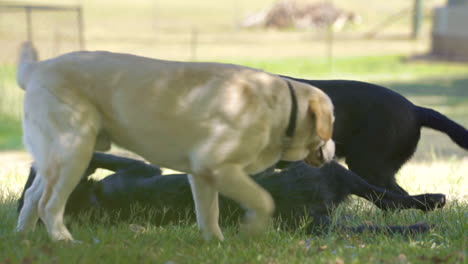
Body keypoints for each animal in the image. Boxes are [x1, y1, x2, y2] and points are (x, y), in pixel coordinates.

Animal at [16, 42, 334, 242]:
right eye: (332, 122)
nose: (333, 149)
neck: (281, 108)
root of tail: (36, 68)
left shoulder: (202, 175)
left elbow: (209, 213)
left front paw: (215, 242)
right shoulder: (218, 167)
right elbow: (264, 200)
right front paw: (251, 230)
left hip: (59, 157)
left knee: (32, 197)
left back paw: (25, 237)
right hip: (75, 149)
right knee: (48, 204)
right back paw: (63, 240)